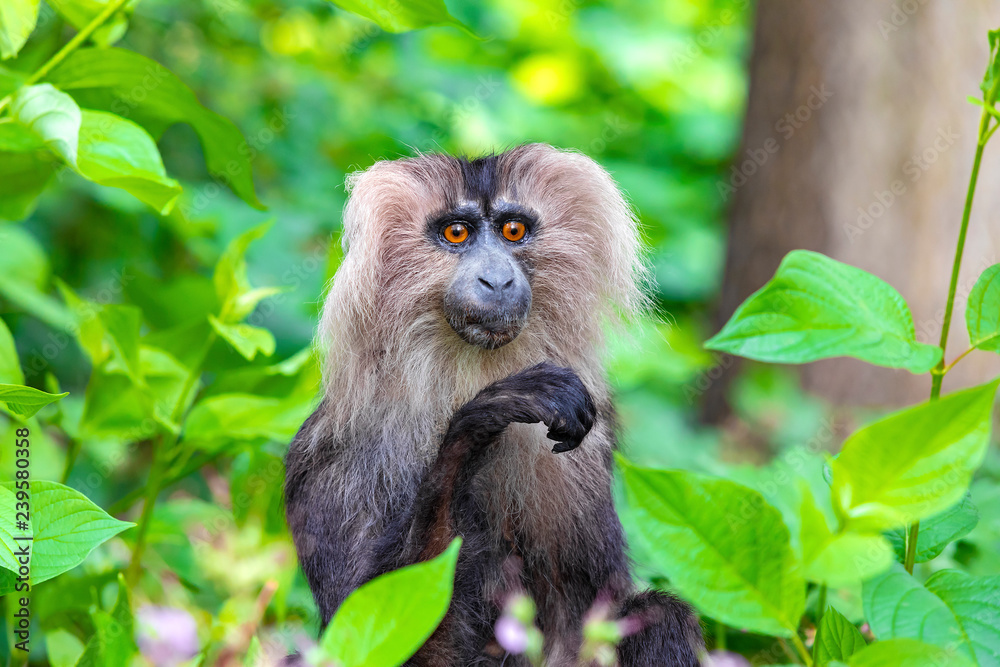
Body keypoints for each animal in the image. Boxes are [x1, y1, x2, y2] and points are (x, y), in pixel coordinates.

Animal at [284, 144, 704, 665]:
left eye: (513, 231)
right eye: (456, 233)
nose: (497, 280)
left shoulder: (592, 437)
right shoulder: (332, 452)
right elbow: (375, 636)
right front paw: (487, 414)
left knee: (663, 617)